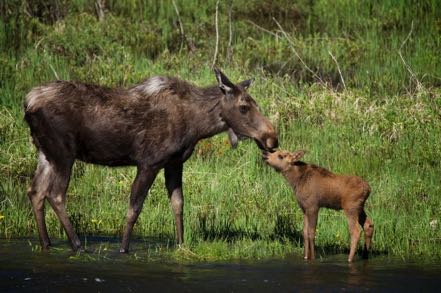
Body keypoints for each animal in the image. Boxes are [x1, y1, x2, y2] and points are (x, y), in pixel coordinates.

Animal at [24, 68, 276, 251]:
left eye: (255, 104)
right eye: (244, 107)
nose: (272, 138)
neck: (197, 125)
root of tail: (27, 103)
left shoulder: (174, 162)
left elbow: (178, 203)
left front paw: (180, 244)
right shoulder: (149, 162)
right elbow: (134, 207)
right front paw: (123, 249)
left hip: (45, 153)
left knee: (36, 191)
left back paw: (46, 243)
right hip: (64, 153)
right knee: (55, 194)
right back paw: (77, 245)